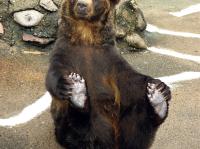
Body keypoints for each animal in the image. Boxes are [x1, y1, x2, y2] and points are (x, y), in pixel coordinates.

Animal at [45, 0, 170, 148]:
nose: (82, 5)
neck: (86, 37)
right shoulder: (66, 51)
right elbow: (55, 72)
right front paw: (66, 84)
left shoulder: (108, 59)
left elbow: (130, 79)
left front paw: (160, 87)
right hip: (68, 127)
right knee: (76, 128)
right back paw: (78, 94)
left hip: (121, 123)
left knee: (137, 120)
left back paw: (158, 103)